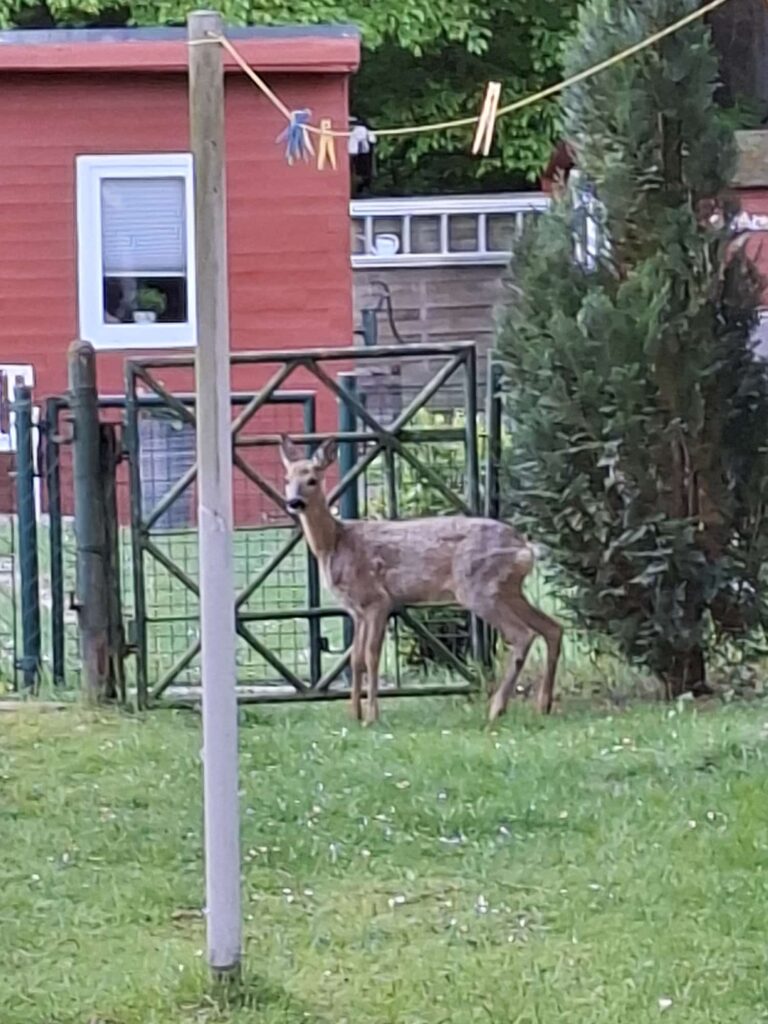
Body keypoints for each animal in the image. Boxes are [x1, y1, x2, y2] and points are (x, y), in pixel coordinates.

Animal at [279, 435, 563, 726]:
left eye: (312, 479)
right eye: (287, 479)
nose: (294, 502)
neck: (335, 542)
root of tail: (524, 548)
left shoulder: (378, 600)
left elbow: (371, 656)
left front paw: (371, 717)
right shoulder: (355, 610)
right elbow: (356, 659)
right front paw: (354, 715)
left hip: (478, 587)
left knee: (522, 634)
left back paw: (497, 709)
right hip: (508, 589)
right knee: (552, 627)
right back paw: (543, 704)